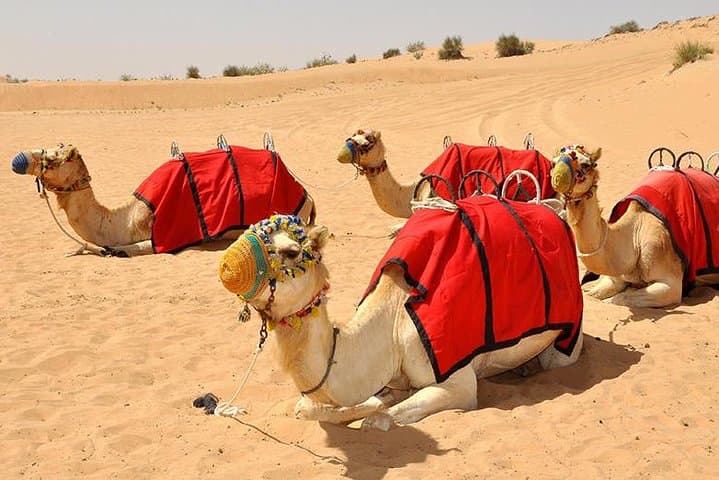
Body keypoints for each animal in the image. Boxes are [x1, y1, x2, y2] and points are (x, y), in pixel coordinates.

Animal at [10, 141, 315, 257]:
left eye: (53, 158)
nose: (18, 160)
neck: (128, 218)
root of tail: (306, 193)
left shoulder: (163, 238)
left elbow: (119, 249)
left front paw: (105, 250)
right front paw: (77, 249)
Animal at [217, 209, 583, 431]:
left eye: (292, 252)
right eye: (250, 231)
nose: (228, 266)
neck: (391, 326)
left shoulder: (458, 381)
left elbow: (377, 421)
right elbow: (307, 408)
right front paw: (374, 402)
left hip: (569, 332)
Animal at [549, 146, 719, 308]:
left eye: (585, 164)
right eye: (553, 162)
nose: (557, 179)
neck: (635, 234)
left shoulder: (671, 284)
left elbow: (620, 298)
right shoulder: (615, 275)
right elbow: (594, 294)